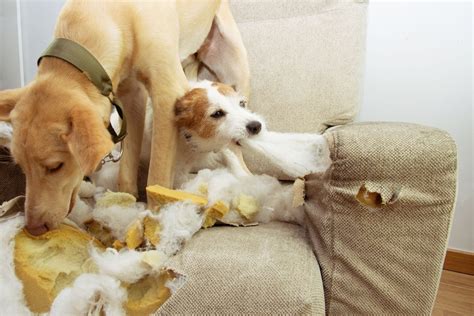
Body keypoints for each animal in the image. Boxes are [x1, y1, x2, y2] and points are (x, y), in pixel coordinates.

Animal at [0, 0, 248, 235]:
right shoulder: (132, 98)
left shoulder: (166, 96)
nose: (33, 229)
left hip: (236, 72)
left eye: (55, 166)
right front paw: (126, 204)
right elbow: (126, 172)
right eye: (21, 166)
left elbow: (156, 179)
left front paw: (153, 222)